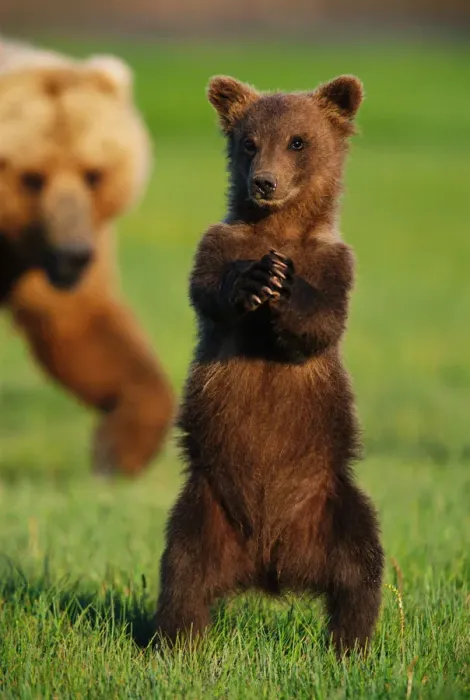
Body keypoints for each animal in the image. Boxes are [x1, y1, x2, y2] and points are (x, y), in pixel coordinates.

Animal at [0, 42, 175, 476]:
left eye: (93, 173)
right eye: (32, 177)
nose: (74, 255)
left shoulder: (41, 260)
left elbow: (80, 326)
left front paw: (118, 451)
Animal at [154, 74, 384, 654]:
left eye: (298, 141)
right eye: (249, 142)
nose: (263, 182)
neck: (279, 231)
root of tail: (269, 563)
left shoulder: (335, 264)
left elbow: (321, 322)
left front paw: (285, 288)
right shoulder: (217, 244)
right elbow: (211, 290)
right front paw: (256, 279)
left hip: (332, 502)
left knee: (360, 567)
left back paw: (350, 645)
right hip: (205, 510)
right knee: (182, 574)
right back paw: (178, 643)